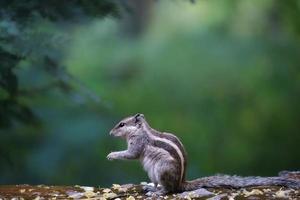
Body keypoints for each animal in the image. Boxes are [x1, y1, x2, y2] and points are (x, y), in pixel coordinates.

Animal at [107, 113, 300, 195]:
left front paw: (111, 155)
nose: (109, 133)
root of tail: (181, 183)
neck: (141, 131)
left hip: (162, 169)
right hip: (154, 173)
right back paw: (151, 188)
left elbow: (130, 154)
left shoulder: (138, 145)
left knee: (170, 190)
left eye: (122, 124)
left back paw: (158, 192)